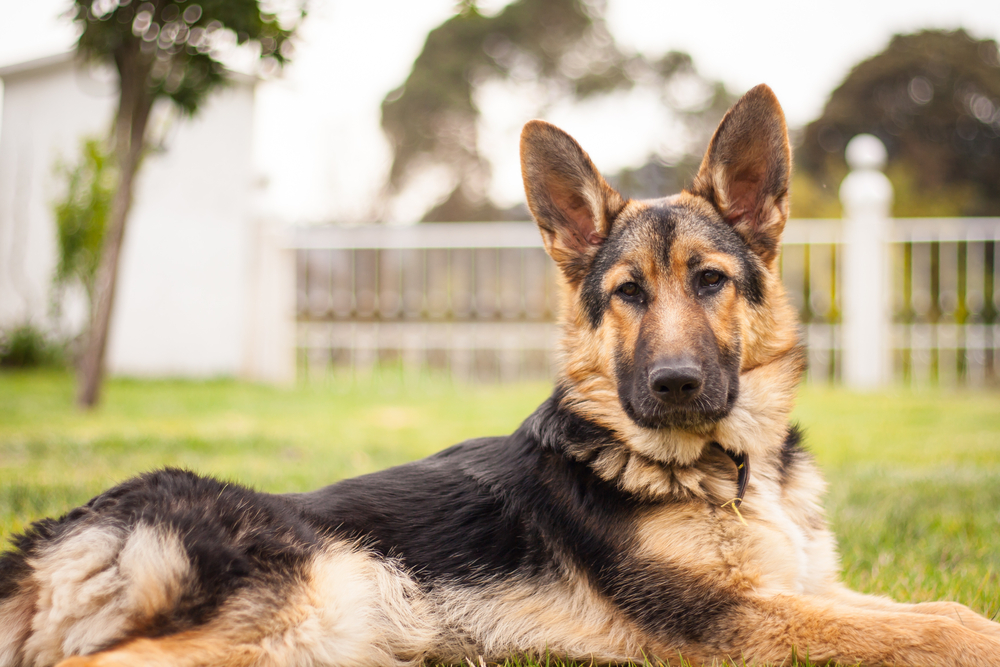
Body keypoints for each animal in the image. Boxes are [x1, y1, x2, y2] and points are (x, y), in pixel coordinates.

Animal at [1, 85, 1000, 667]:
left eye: (711, 281)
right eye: (629, 294)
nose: (675, 384)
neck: (729, 469)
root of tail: (56, 533)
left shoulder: (808, 591)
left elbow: (938, 607)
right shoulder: (738, 622)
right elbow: (940, 626)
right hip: (309, 605)